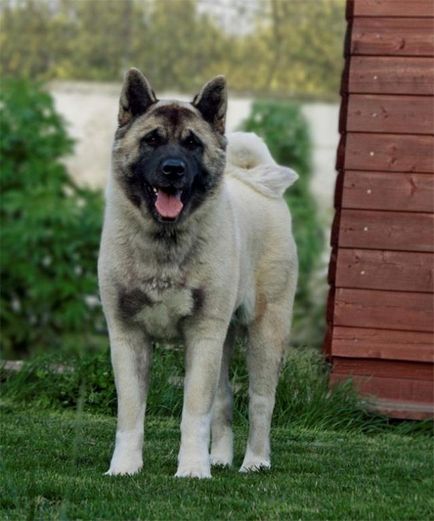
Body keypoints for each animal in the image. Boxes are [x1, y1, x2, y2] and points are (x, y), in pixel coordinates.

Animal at [97, 69, 298, 480]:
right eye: (152, 140)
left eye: (192, 144)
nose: (173, 169)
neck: (164, 244)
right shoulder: (128, 336)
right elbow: (131, 414)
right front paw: (124, 467)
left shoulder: (203, 335)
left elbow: (194, 412)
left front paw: (191, 469)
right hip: (222, 341)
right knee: (223, 400)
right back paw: (219, 458)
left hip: (265, 331)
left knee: (260, 402)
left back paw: (255, 462)